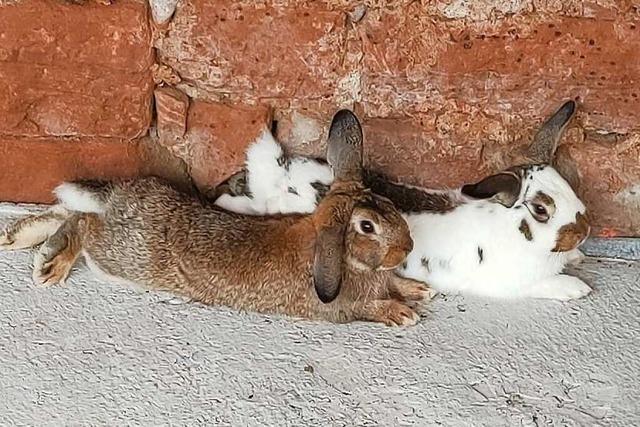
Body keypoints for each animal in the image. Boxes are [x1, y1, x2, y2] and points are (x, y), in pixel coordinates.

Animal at [1, 111, 430, 328]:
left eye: (387, 203)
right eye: (367, 226)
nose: (408, 246)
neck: (341, 255)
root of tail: (118, 199)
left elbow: (394, 282)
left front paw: (419, 290)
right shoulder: (338, 309)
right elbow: (368, 308)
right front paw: (402, 313)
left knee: (69, 209)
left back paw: (20, 238)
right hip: (121, 256)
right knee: (84, 224)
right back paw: (52, 262)